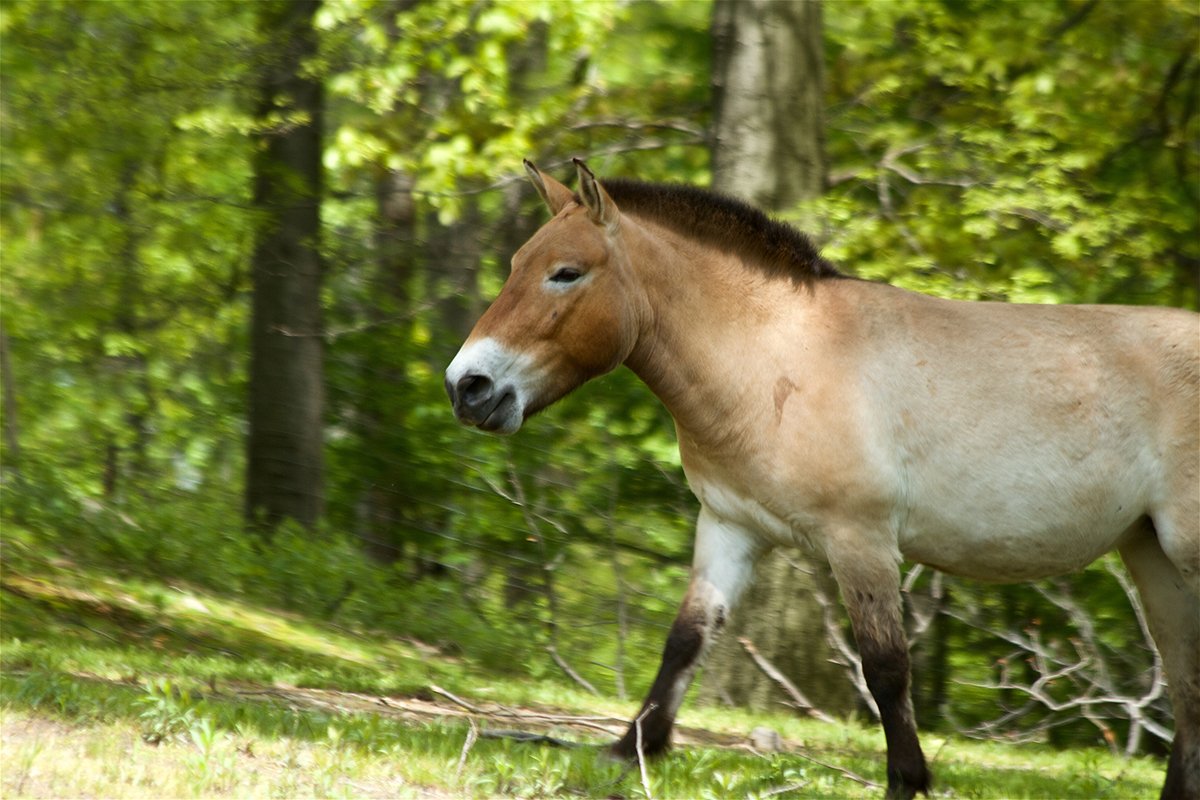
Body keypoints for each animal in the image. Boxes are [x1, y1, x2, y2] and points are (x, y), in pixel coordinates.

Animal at [444, 158, 1200, 800]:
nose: (467, 387)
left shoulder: (858, 539)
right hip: (1152, 556)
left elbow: (885, 667)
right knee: (1186, 685)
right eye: (516, 265)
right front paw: (633, 749)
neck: (776, 355)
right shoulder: (730, 526)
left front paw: (906, 781)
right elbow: (687, 638)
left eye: (566, 273)